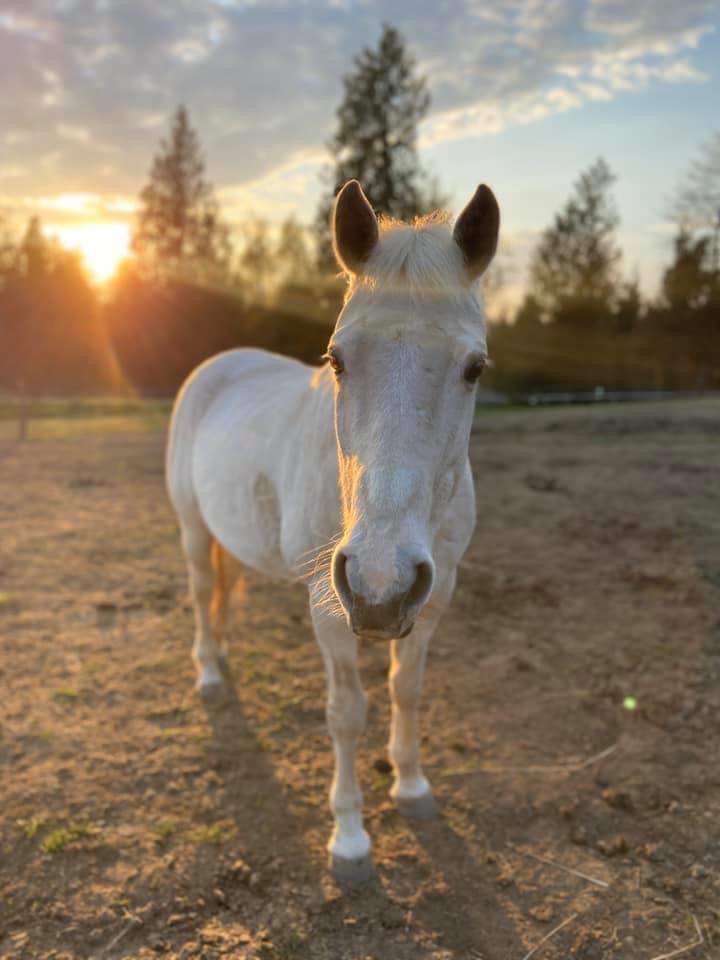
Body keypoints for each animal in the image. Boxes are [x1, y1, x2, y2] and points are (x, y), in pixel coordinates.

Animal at [165, 180, 498, 884]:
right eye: (336, 358)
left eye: (475, 367)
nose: (379, 581)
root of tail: (219, 365)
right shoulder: (328, 604)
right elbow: (346, 714)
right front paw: (349, 839)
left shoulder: (435, 597)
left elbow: (406, 689)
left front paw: (412, 787)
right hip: (192, 530)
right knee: (202, 591)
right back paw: (209, 673)